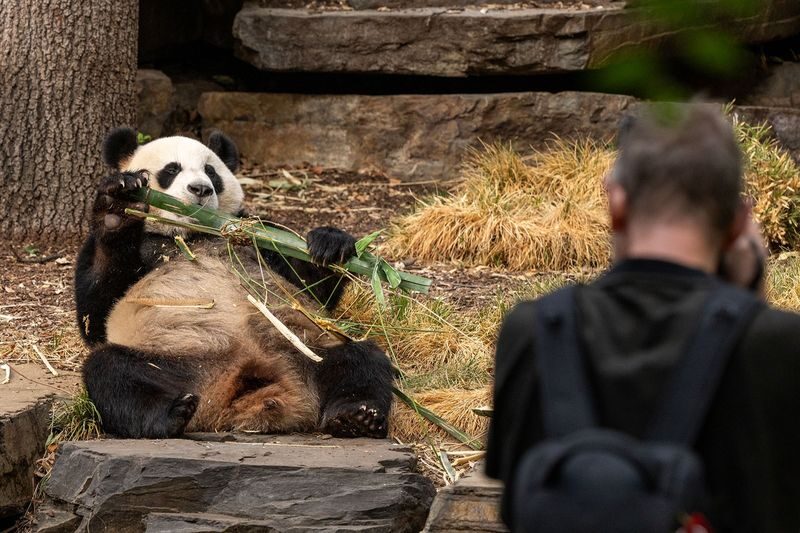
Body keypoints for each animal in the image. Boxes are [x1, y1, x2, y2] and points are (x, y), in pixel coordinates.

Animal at [75, 128, 393, 439]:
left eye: (211, 171)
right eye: (172, 169)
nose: (201, 189)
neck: (194, 232)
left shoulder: (254, 236)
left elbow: (309, 288)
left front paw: (330, 245)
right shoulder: (139, 249)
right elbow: (97, 314)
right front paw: (117, 207)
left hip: (305, 351)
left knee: (360, 359)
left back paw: (356, 416)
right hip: (178, 361)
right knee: (111, 371)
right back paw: (169, 414)